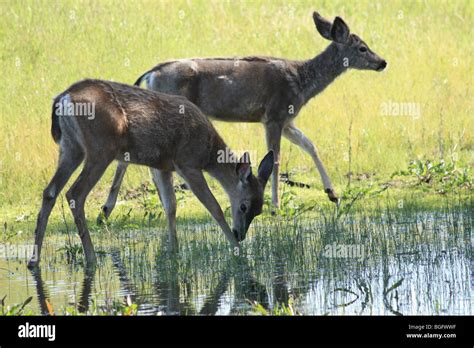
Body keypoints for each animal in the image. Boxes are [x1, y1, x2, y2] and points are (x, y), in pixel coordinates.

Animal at [27, 79, 274, 270]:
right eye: (244, 206)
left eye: (260, 210)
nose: (240, 234)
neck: (208, 153)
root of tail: (64, 98)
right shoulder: (187, 163)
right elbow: (214, 208)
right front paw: (238, 251)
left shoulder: (162, 166)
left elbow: (171, 206)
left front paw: (174, 251)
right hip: (101, 148)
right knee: (75, 194)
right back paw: (92, 258)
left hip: (71, 148)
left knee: (50, 191)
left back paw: (33, 260)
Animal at [98, 12, 386, 222]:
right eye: (362, 48)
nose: (383, 62)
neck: (302, 82)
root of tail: (147, 76)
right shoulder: (274, 115)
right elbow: (276, 159)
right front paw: (276, 206)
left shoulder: (286, 120)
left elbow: (310, 145)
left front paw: (333, 194)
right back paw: (109, 209)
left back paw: (112, 209)